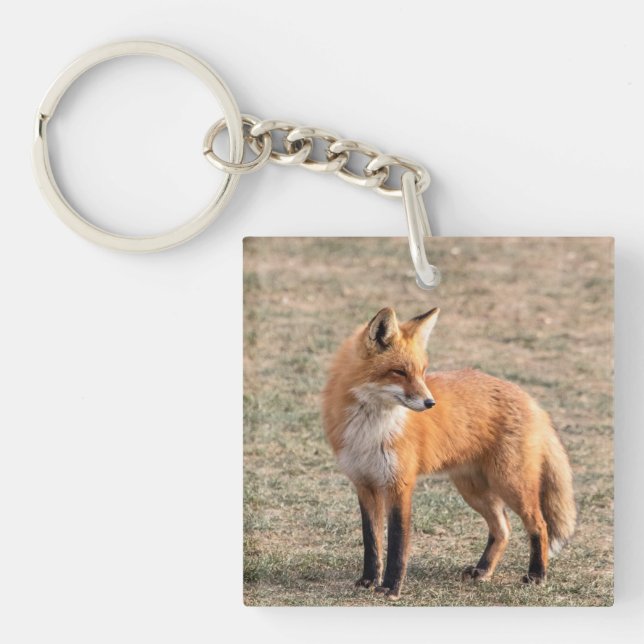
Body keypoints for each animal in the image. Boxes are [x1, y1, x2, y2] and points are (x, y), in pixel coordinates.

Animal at [322, 306, 576, 600]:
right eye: (399, 372)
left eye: (423, 372)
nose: (430, 402)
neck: (371, 428)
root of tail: (531, 399)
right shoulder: (364, 484)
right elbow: (371, 541)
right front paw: (368, 580)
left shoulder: (400, 484)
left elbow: (397, 542)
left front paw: (391, 587)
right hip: (473, 490)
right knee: (503, 529)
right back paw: (483, 571)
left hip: (511, 484)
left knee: (539, 525)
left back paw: (537, 575)